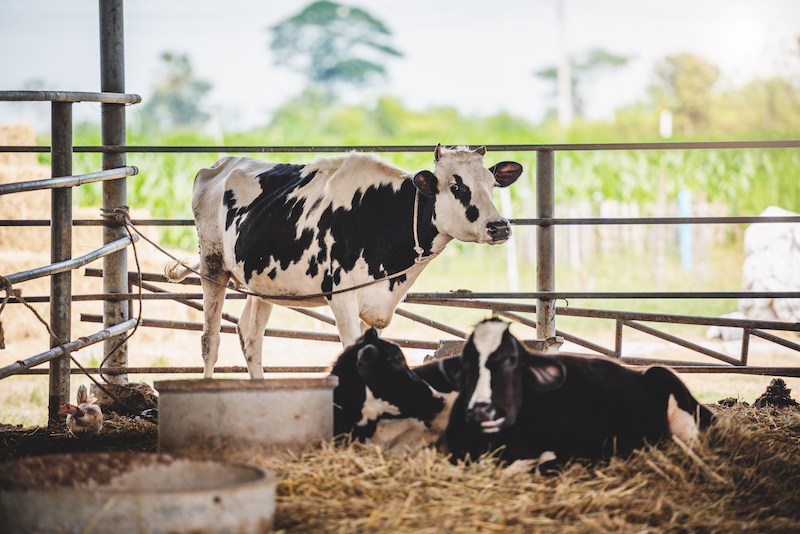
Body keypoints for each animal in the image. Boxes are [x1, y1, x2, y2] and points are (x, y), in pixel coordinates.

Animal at [166, 144, 520, 378]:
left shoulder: (374, 305)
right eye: (456, 186)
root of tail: (221, 163)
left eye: (492, 184)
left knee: (251, 336)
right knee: (210, 340)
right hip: (213, 265)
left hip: (262, 282)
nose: (500, 226)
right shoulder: (342, 297)